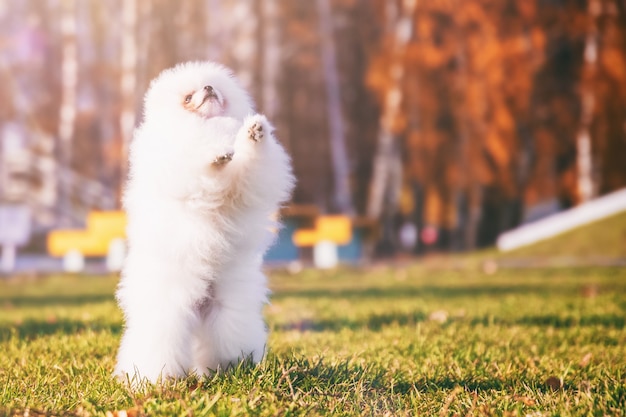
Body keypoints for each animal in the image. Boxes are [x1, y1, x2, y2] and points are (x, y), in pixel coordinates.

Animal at [113, 61, 294, 384]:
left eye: (215, 88)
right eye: (188, 97)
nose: (208, 89)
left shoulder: (246, 185)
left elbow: (252, 165)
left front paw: (254, 133)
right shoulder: (181, 167)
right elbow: (201, 162)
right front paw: (216, 152)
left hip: (228, 313)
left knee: (223, 343)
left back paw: (229, 369)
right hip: (167, 314)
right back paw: (152, 380)